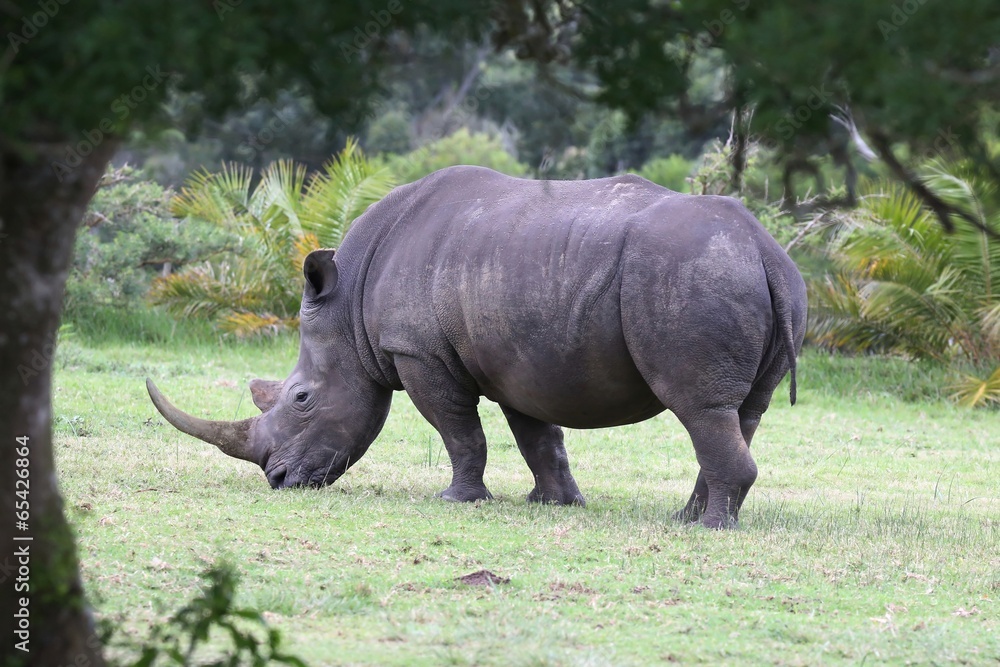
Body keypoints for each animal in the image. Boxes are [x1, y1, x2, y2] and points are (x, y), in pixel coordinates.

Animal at [147, 165, 807, 528]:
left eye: (301, 399)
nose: (279, 480)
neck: (349, 304)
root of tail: (761, 247)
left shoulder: (417, 352)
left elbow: (459, 431)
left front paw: (457, 500)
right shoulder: (523, 360)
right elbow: (538, 436)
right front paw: (554, 504)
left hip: (690, 274)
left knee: (700, 407)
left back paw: (708, 530)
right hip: (758, 277)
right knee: (740, 412)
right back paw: (689, 517)